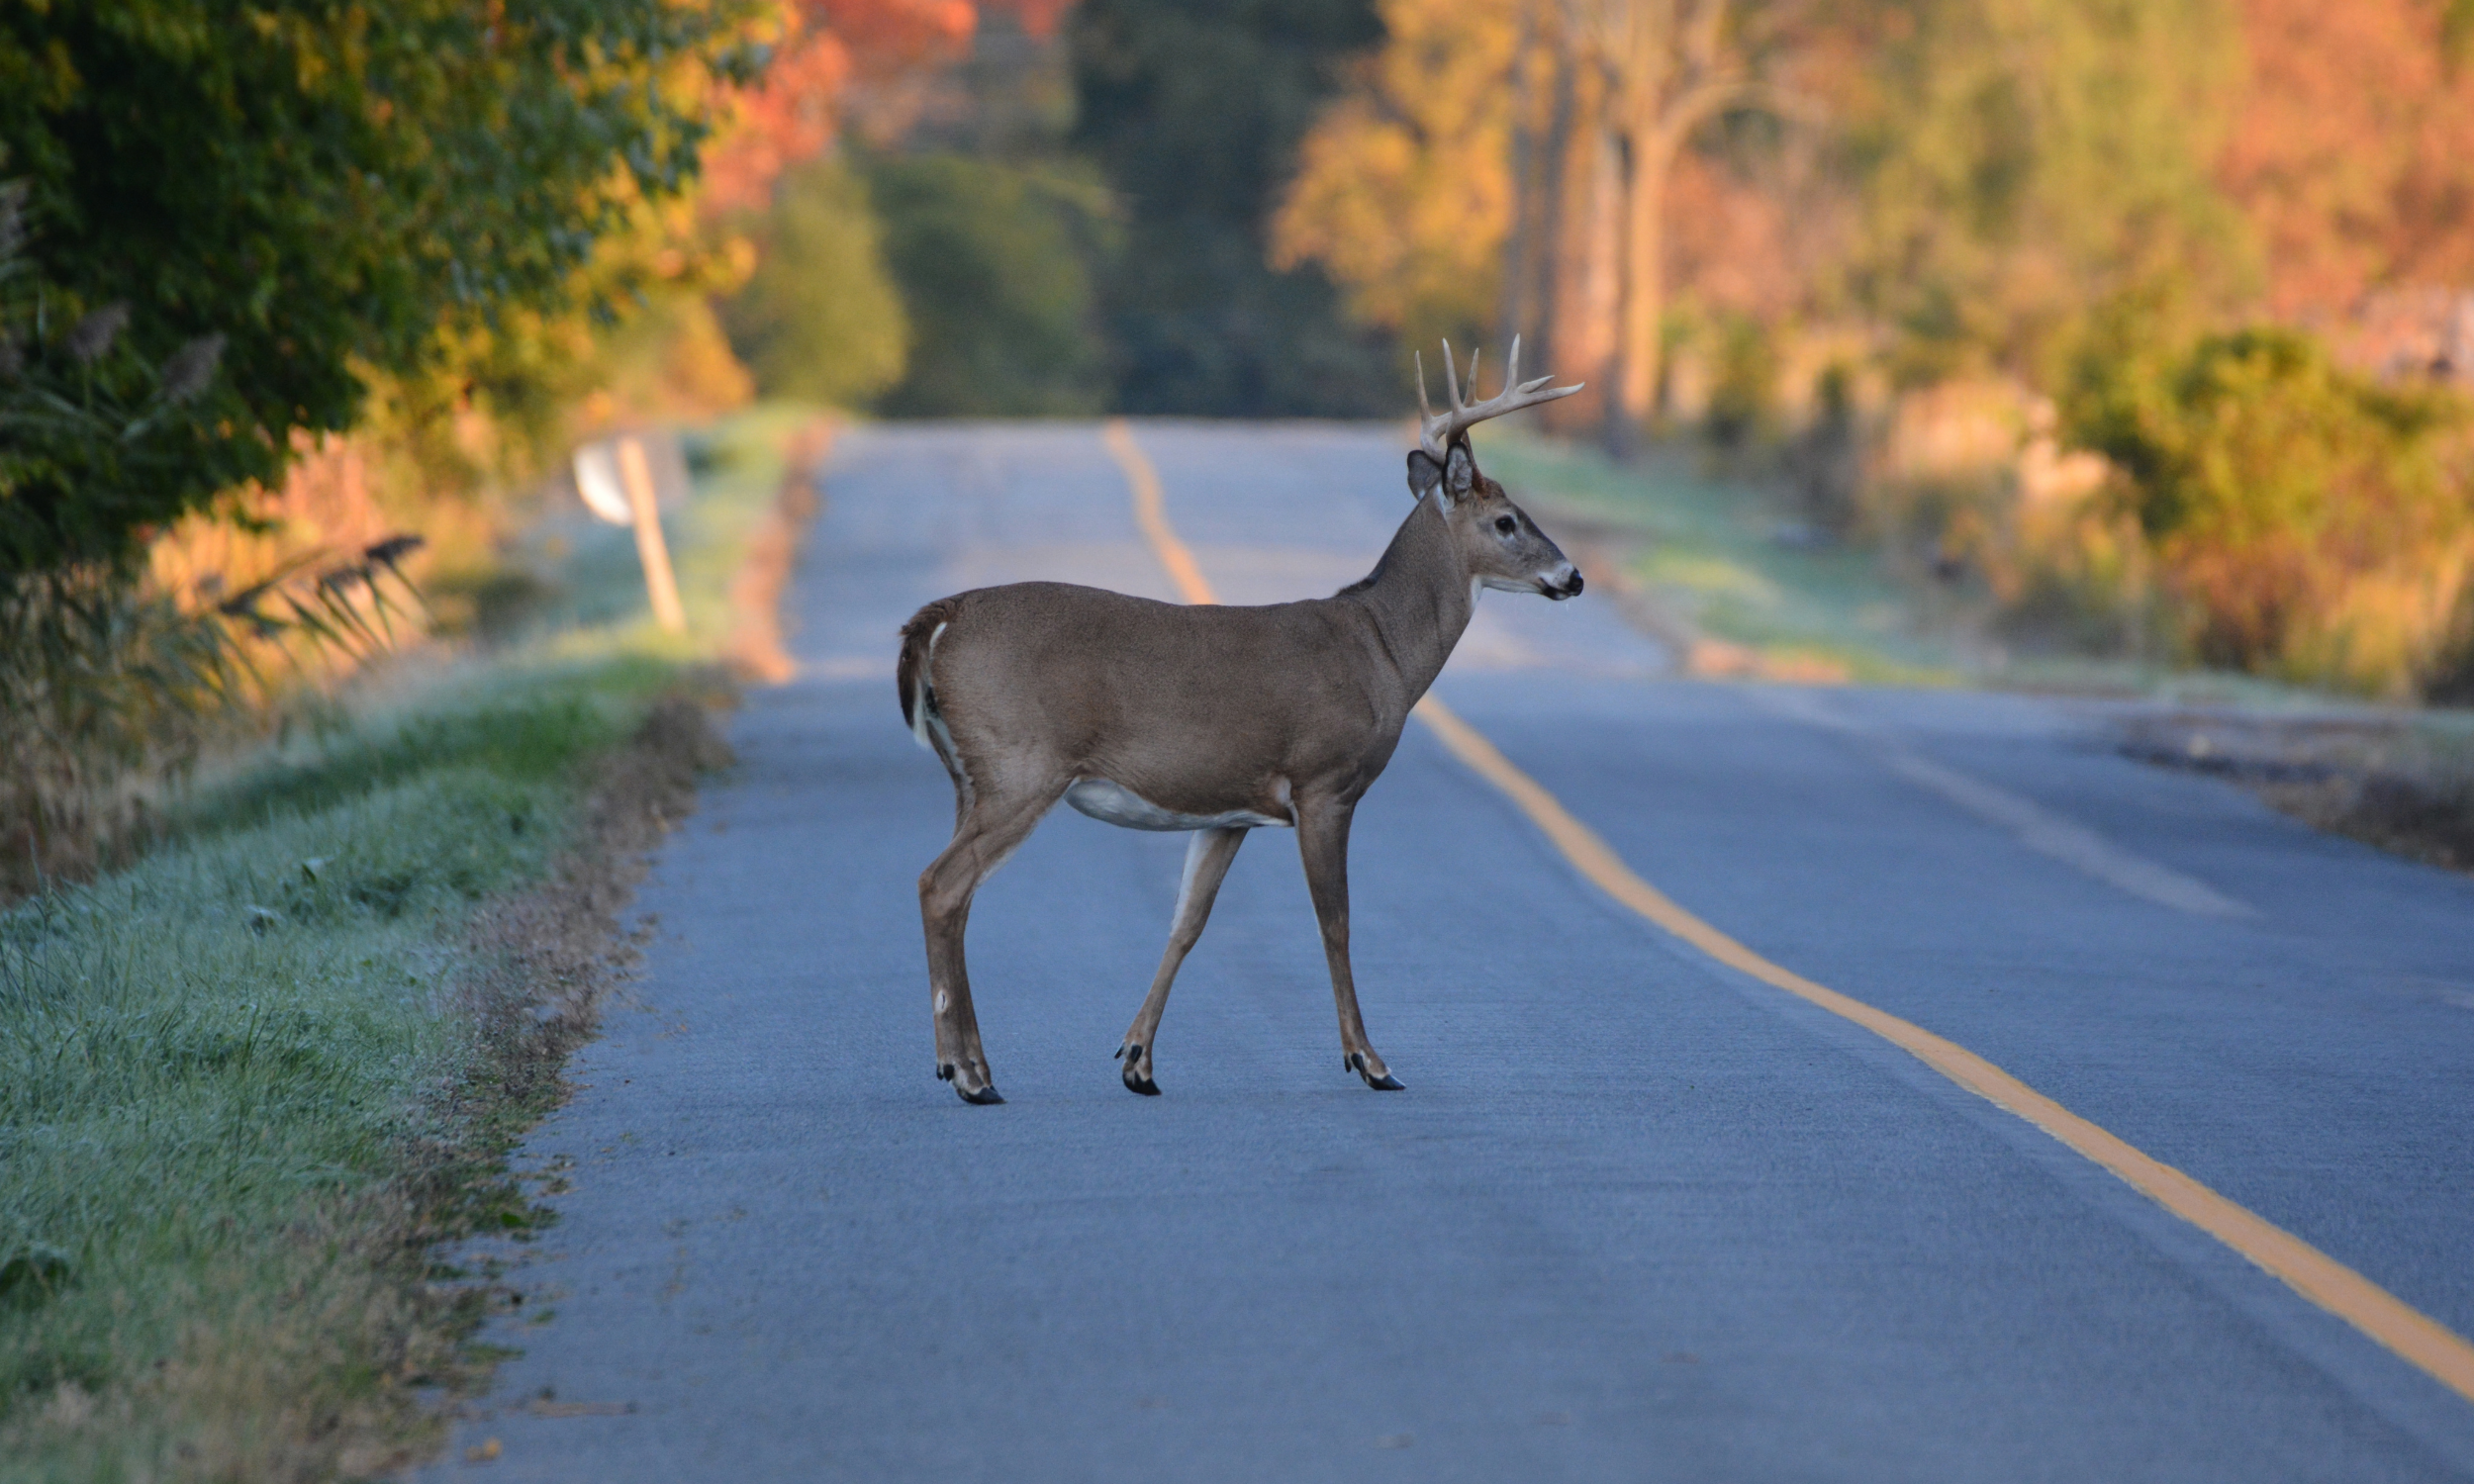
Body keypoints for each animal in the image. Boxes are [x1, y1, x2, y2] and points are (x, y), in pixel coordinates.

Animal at [897, 339, 1584, 1104]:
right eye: (1507, 521)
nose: (1575, 576)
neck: (1383, 652)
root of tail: (937, 620)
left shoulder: (1229, 809)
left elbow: (1188, 924)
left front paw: (1138, 1060)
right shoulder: (1324, 780)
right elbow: (1336, 923)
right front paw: (1371, 1062)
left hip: (970, 778)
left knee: (954, 894)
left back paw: (970, 1066)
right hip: (1021, 766)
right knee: (940, 885)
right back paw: (967, 1073)